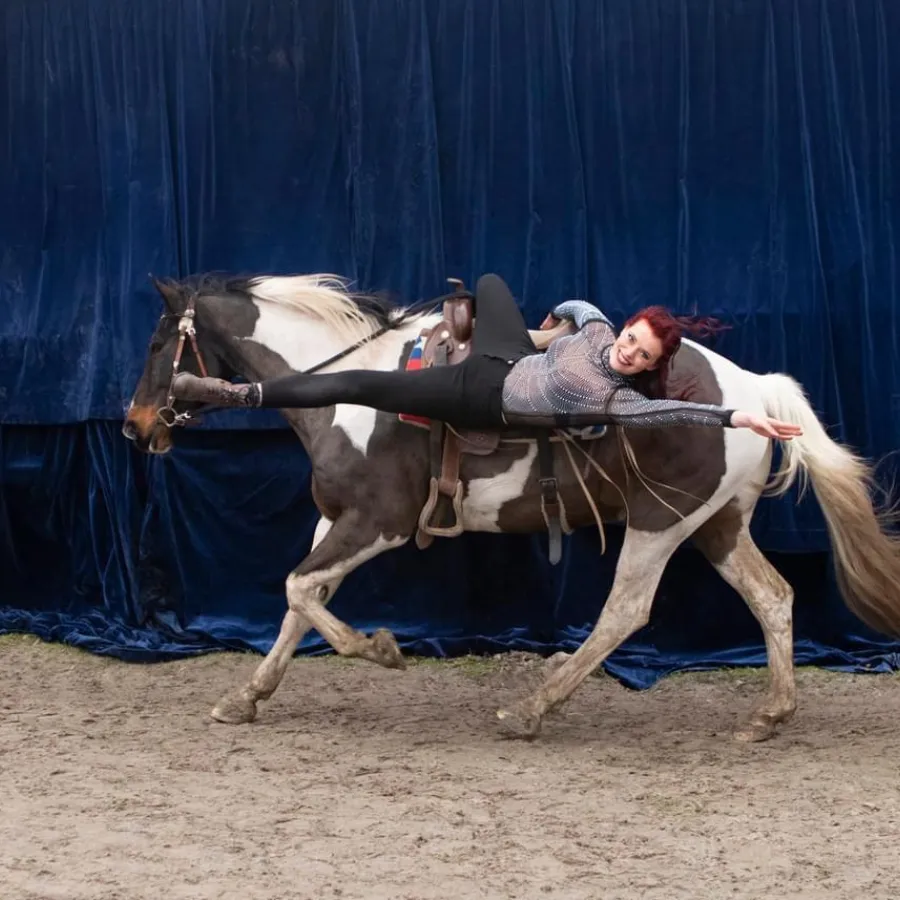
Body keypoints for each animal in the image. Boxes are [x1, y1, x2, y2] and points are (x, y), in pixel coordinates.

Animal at [123, 270, 900, 740]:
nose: (136, 425)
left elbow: (298, 589)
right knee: (772, 597)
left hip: (662, 522)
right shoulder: (335, 521)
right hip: (718, 524)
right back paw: (771, 712)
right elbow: (297, 600)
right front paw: (249, 696)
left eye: (160, 342)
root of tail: (752, 391)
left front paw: (378, 649)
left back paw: (532, 707)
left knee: (624, 613)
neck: (352, 394)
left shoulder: (379, 524)